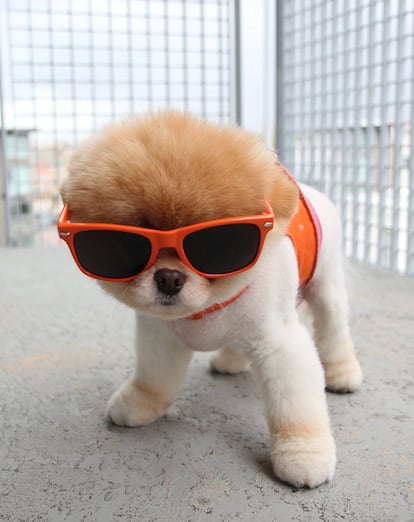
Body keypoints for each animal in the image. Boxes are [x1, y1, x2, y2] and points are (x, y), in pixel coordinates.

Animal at [59, 110, 362, 488]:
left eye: (219, 245)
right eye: (121, 246)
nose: (169, 277)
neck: (205, 311)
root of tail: (312, 192)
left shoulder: (279, 344)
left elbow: (294, 409)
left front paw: (305, 455)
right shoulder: (160, 337)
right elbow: (154, 380)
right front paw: (139, 403)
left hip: (326, 288)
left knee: (333, 332)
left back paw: (343, 374)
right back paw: (230, 360)